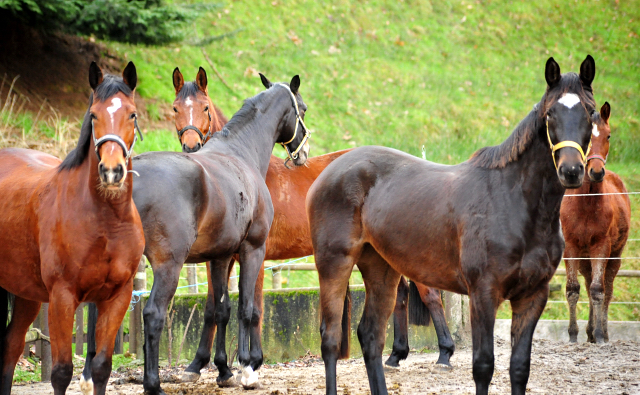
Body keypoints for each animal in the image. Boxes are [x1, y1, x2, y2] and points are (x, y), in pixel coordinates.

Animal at [0, 62, 144, 395]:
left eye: (132, 114)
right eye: (94, 115)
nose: (112, 171)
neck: (106, 221)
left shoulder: (117, 297)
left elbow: (102, 367)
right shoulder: (62, 298)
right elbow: (62, 371)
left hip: (26, 294)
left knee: (11, 346)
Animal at [81, 75, 312, 395]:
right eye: (302, 108)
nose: (303, 152)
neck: (240, 153)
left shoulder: (220, 256)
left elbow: (221, 309)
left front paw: (224, 370)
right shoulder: (253, 249)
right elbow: (247, 308)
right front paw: (248, 369)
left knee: (95, 314)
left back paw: (90, 377)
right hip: (169, 265)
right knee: (153, 314)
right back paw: (152, 384)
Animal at [308, 55, 596, 395]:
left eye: (591, 112)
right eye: (550, 113)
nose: (572, 171)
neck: (514, 203)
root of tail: (329, 171)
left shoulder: (532, 297)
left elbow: (519, 368)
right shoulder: (483, 295)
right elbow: (483, 366)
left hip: (382, 268)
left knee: (370, 336)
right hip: (334, 263)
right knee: (330, 338)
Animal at [560, 102, 632, 344]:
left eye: (608, 135)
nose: (597, 172)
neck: (586, 204)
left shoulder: (601, 246)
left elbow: (598, 290)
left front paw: (600, 335)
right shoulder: (571, 247)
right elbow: (573, 289)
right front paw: (573, 335)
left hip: (614, 254)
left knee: (606, 288)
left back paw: (602, 332)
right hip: (584, 256)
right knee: (589, 281)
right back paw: (590, 331)